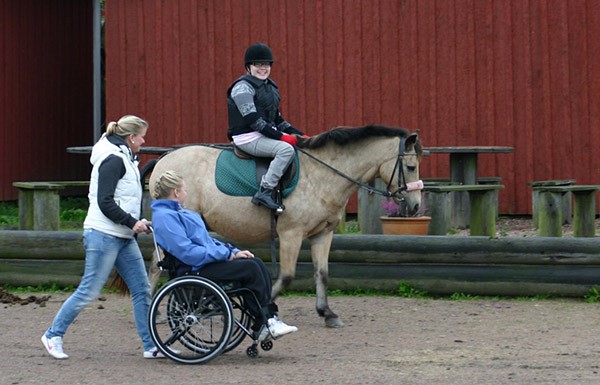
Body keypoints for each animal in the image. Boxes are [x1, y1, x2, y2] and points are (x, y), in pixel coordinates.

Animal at [148, 124, 424, 328]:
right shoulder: (291, 234)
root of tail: (165, 158)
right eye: (411, 167)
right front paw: (261, 306)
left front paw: (327, 313)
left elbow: (322, 274)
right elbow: (287, 276)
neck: (323, 174)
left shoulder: (323, 234)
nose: (415, 206)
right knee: (157, 265)